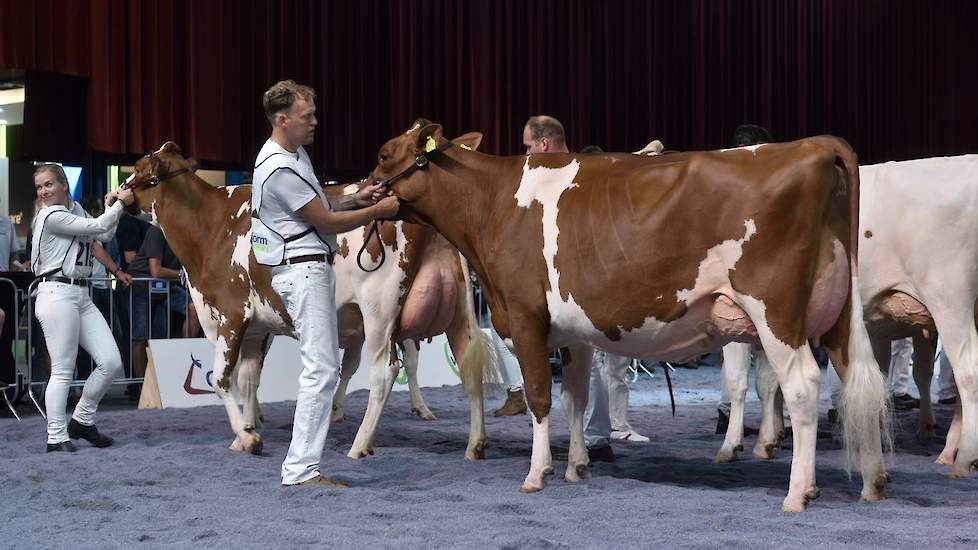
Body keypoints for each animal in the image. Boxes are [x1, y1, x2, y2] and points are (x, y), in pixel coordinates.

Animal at [122, 140, 496, 460]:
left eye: (138, 169)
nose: (116, 193)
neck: (211, 227)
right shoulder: (257, 327)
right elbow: (248, 379)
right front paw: (246, 430)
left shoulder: (229, 315)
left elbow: (220, 379)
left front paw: (248, 437)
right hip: (457, 310)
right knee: (469, 365)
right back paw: (475, 445)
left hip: (379, 309)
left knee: (384, 371)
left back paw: (360, 445)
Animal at [716, 155, 976, 478]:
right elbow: (768, 384)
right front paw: (769, 439)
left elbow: (738, 381)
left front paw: (731, 445)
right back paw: (950, 450)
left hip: (949, 298)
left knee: (968, 372)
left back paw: (964, 457)